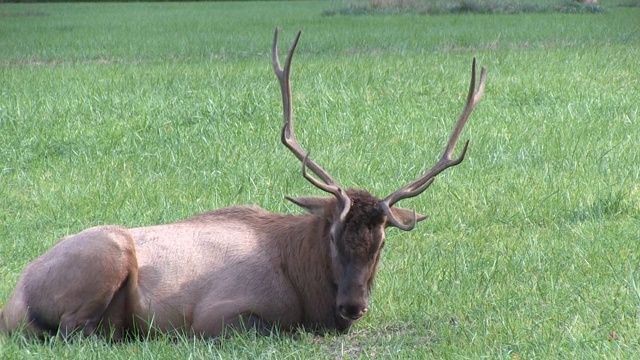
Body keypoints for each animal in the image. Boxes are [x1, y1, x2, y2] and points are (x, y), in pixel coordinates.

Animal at [0, 28, 484, 340]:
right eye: (333, 236)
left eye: (382, 243)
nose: (352, 306)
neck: (305, 284)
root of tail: (14, 300)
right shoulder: (218, 315)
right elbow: (269, 329)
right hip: (108, 253)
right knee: (73, 330)